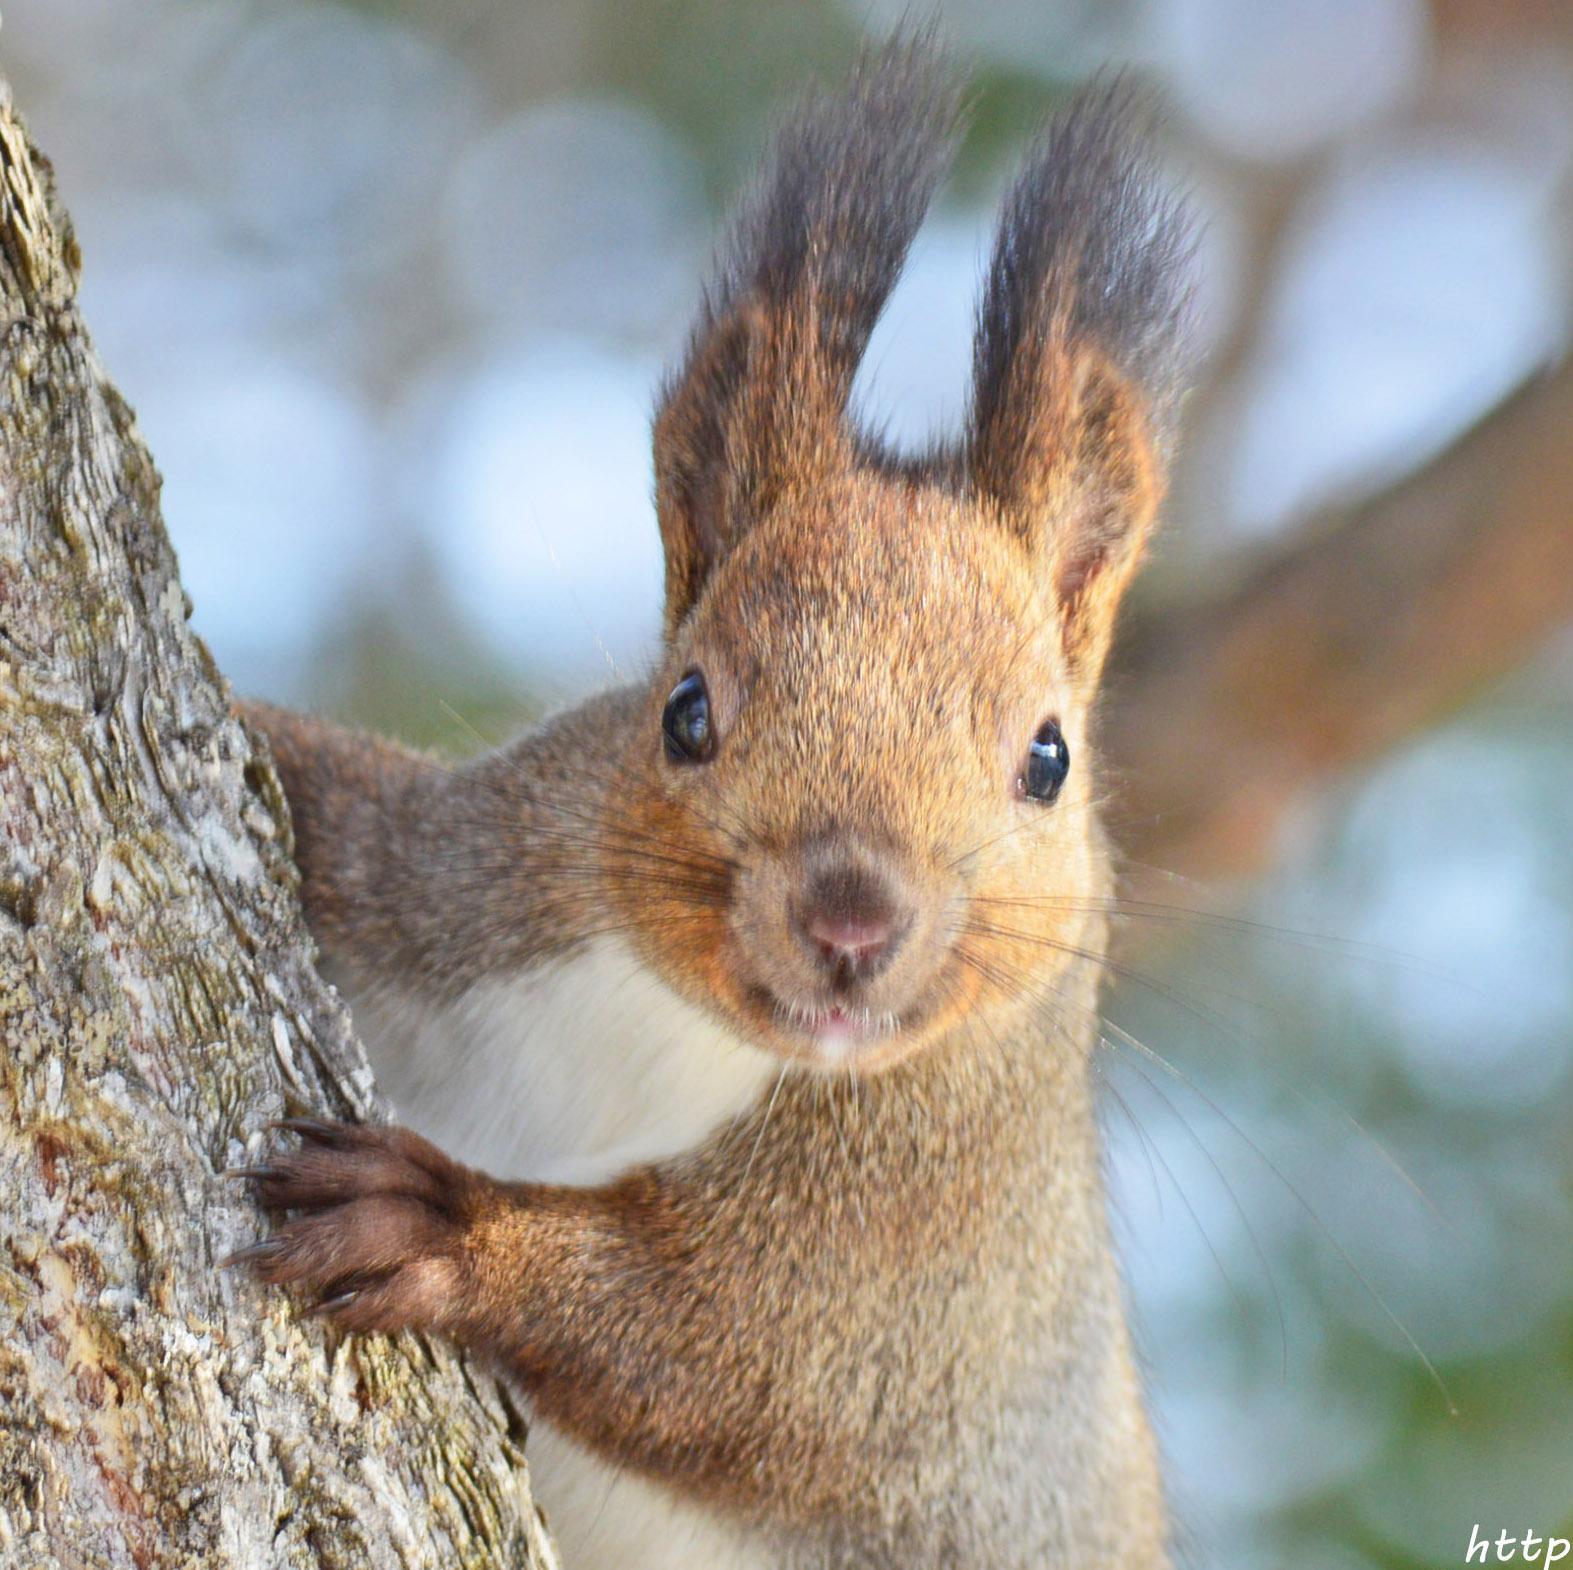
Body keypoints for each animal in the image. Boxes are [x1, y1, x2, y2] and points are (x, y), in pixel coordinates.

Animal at [229, 36, 1189, 1570]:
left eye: (1047, 757)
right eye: (685, 710)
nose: (850, 920)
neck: (667, 1032)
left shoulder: (942, 1242)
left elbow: (743, 1349)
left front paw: (443, 1227)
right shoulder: (474, 869)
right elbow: (343, 817)